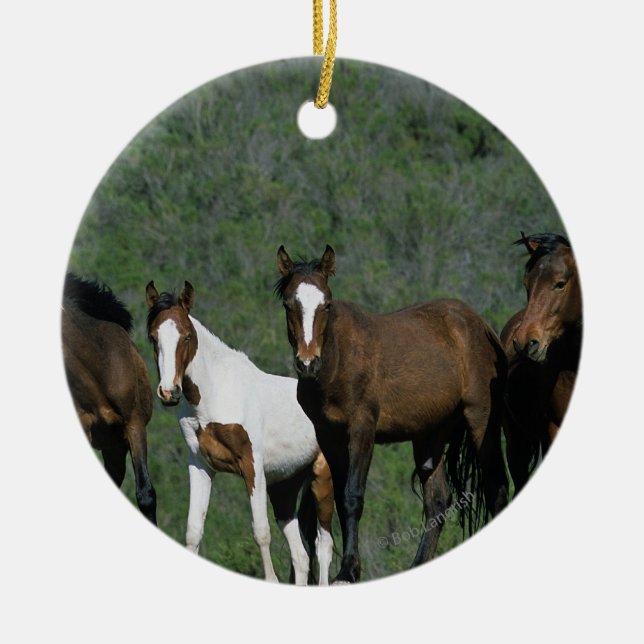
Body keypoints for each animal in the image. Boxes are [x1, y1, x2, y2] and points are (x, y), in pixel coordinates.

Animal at [145, 280, 334, 585]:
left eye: (186, 337)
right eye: (153, 338)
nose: (169, 392)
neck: (215, 393)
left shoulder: (251, 466)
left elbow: (260, 531)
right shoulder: (200, 466)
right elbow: (193, 530)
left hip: (322, 478)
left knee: (323, 545)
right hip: (285, 487)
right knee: (302, 556)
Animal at [275, 245, 509, 583]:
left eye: (326, 304)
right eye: (288, 304)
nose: (308, 363)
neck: (337, 361)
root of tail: (479, 325)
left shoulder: (362, 430)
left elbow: (352, 497)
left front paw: (348, 570)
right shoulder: (329, 437)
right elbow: (341, 500)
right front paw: (351, 568)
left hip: (481, 419)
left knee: (496, 489)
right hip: (429, 435)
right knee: (437, 501)